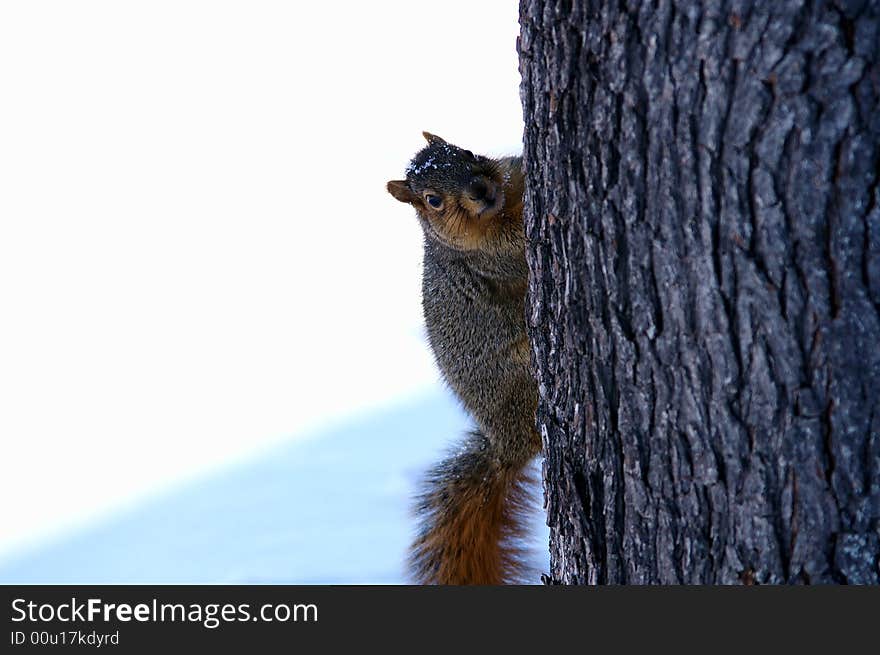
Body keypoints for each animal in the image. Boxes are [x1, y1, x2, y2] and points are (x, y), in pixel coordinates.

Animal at [386, 133, 540, 584]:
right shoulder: (491, 257)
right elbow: (515, 245)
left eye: (467, 153)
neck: (502, 207)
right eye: (432, 200)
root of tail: (506, 448)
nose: (479, 189)